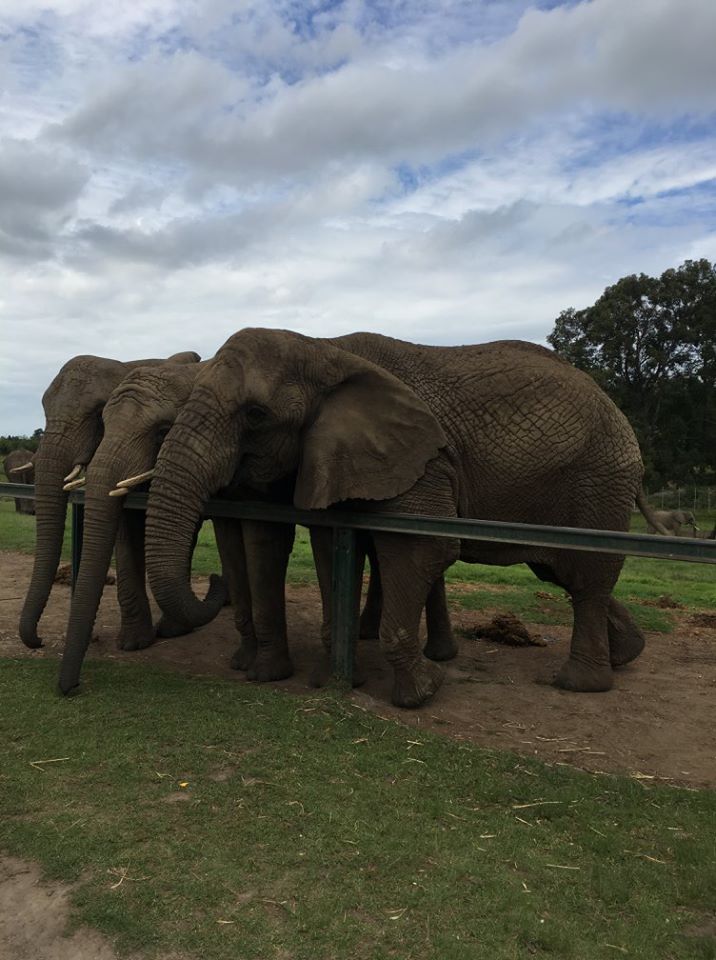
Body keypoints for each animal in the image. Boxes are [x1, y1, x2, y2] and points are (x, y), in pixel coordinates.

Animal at [18, 350, 200, 650]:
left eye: (97, 415)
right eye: (44, 408)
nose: (40, 640)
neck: (125, 365)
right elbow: (124, 532)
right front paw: (134, 643)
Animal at [141, 328, 665, 709]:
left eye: (254, 415)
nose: (212, 580)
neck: (323, 349)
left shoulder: (422, 459)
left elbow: (420, 549)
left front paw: (422, 692)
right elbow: (333, 545)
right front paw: (332, 678)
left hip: (599, 477)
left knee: (585, 576)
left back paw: (580, 684)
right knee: (560, 571)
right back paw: (627, 655)